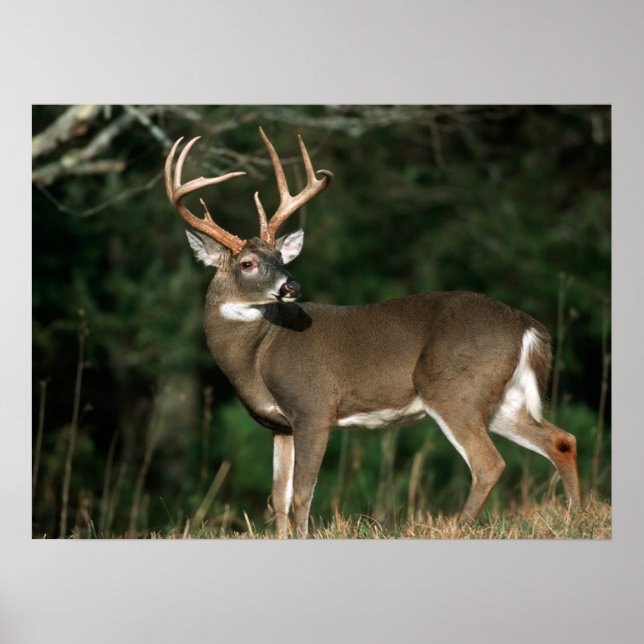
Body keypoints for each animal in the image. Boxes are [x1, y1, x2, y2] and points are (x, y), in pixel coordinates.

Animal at [165, 127, 581, 538]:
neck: (259, 355)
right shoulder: (279, 426)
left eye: (281, 258)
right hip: (498, 397)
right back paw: (575, 514)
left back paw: (460, 528)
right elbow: (277, 499)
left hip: (453, 388)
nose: (292, 286)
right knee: (561, 439)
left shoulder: (314, 407)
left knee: (489, 463)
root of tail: (527, 325)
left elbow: (301, 494)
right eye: (249, 263)